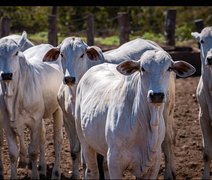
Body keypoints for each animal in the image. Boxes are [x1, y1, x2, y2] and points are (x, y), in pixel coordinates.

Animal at [0, 31, 63, 179]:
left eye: (16, 52)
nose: (6, 75)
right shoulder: (6, 123)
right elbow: (12, 153)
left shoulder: (35, 121)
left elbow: (33, 151)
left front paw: (34, 175)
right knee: (43, 136)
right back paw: (42, 167)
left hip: (58, 110)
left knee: (57, 139)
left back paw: (55, 172)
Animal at [44, 37, 180, 179]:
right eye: (61, 54)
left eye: (82, 54)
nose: (69, 78)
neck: (73, 93)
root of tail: (152, 44)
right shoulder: (69, 120)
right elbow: (75, 151)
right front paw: (76, 175)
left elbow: (102, 162)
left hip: (167, 111)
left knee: (168, 140)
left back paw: (170, 173)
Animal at [74, 48, 195, 179]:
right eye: (142, 68)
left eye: (169, 68)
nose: (156, 95)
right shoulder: (115, 161)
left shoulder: (154, 163)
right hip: (84, 141)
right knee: (92, 170)